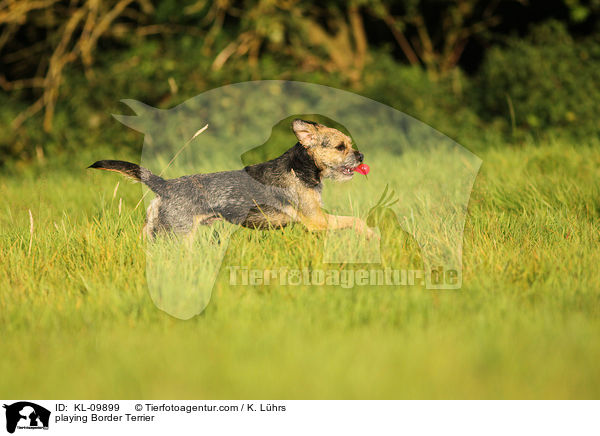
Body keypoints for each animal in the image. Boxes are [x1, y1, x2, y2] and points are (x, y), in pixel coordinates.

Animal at [89, 119, 372, 238]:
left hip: (156, 230)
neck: (301, 167)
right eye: (340, 147)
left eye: (350, 145)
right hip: (180, 235)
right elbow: (354, 220)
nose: (361, 155)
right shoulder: (318, 220)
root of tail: (166, 185)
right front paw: (371, 234)